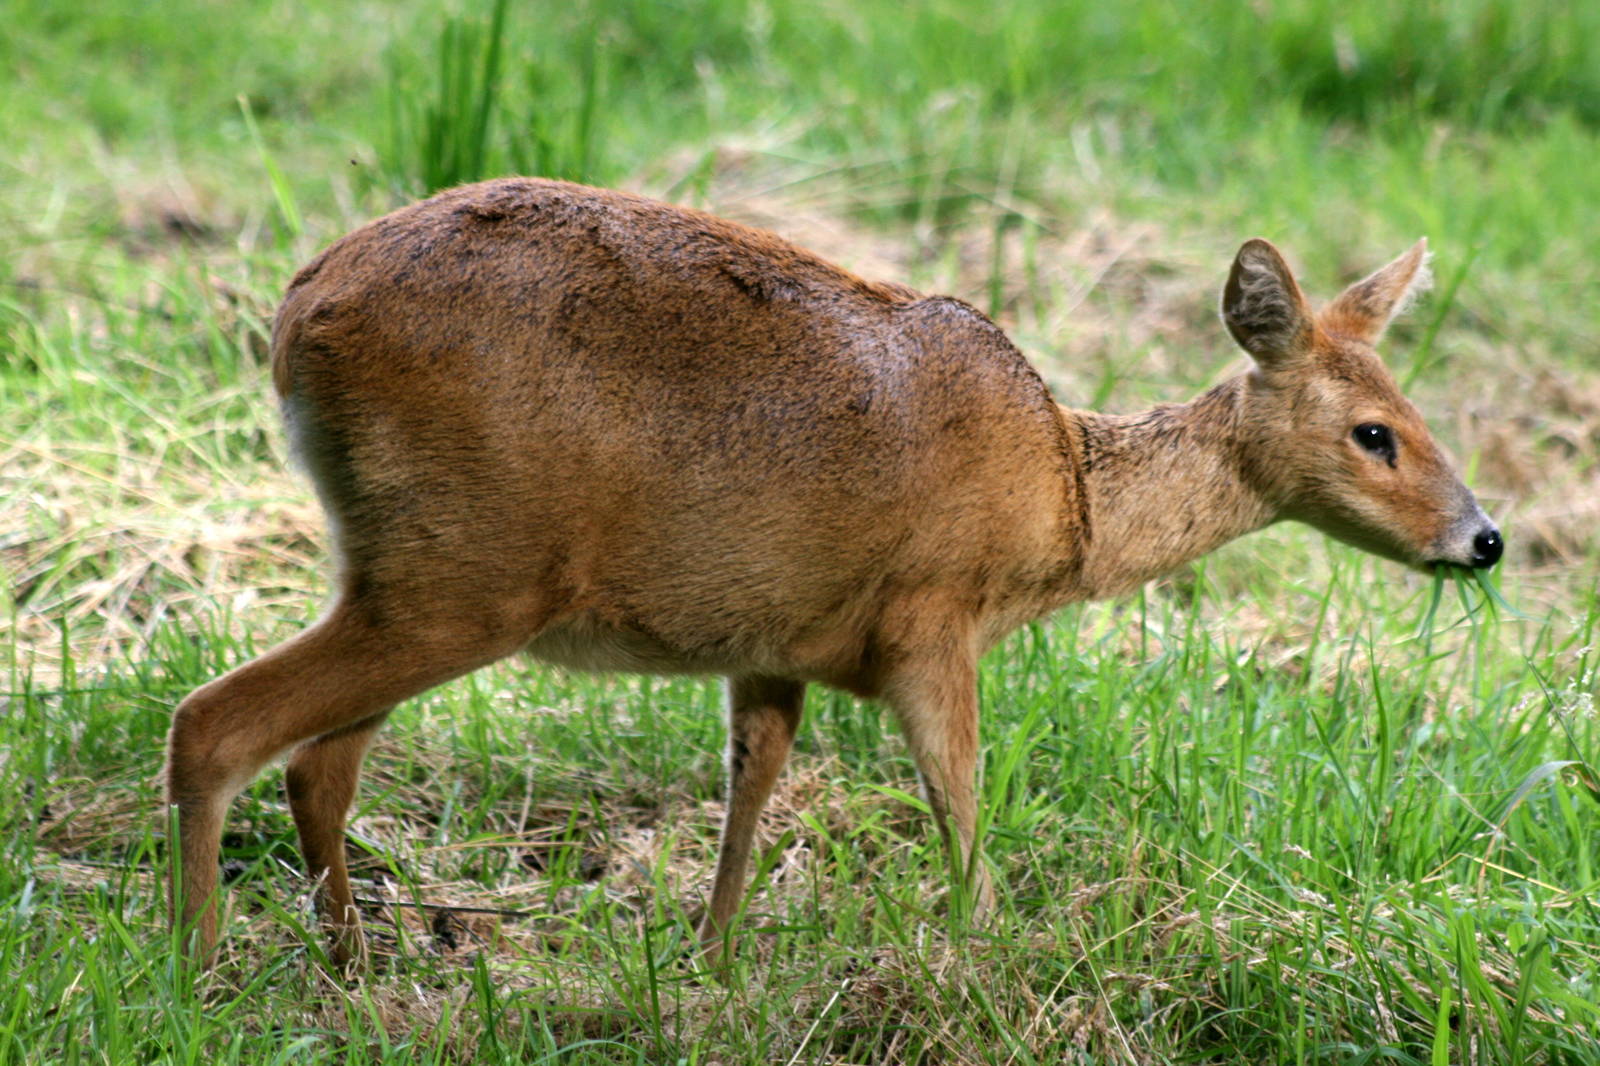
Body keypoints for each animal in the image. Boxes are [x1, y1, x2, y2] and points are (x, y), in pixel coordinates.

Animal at [165, 178, 1503, 970]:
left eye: (1412, 408)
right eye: (1373, 433)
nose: (1482, 538)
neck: (1066, 498)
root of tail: (297, 315)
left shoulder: (769, 644)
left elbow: (750, 800)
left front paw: (706, 960)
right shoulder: (930, 621)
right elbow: (960, 802)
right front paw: (987, 963)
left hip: (406, 568)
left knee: (318, 762)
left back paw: (349, 957)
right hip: (465, 571)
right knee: (214, 725)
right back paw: (202, 967)